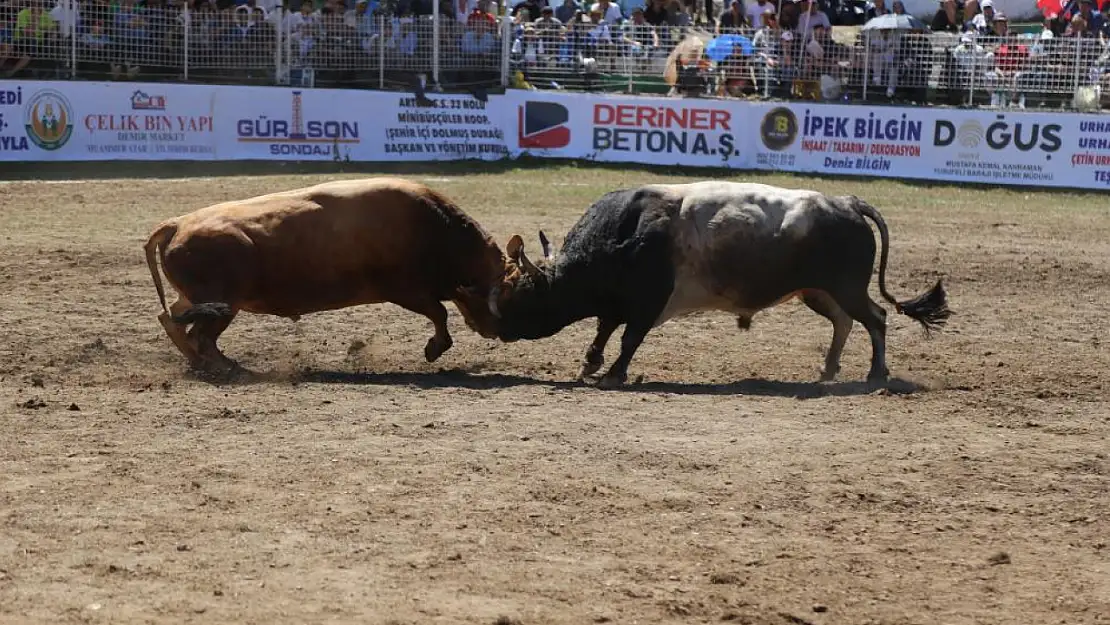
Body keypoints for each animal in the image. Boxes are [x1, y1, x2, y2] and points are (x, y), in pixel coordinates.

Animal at [143, 176, 510, 375]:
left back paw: (202, 362)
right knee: (200, 335)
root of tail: (177, 224)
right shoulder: (406, 291)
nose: (500, 331)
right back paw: (224, 367)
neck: (433, 228)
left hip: (200, 299)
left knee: (172, 319)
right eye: (505, 291)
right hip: (224, 303)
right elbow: (440, 312)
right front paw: (435, 348)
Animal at [488, 178, 954, 388]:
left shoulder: (646, 304)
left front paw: (613, 374)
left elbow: (628, 339)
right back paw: (828, 370)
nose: (497, 327)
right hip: (819, 292)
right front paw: (590, 364)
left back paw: (876, 373)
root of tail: (848, 202)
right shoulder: (619, 303)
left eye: (522, 293)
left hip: (847, 287)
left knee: (876, 318)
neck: (627, 233)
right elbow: (603, 331)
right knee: (845, 322)